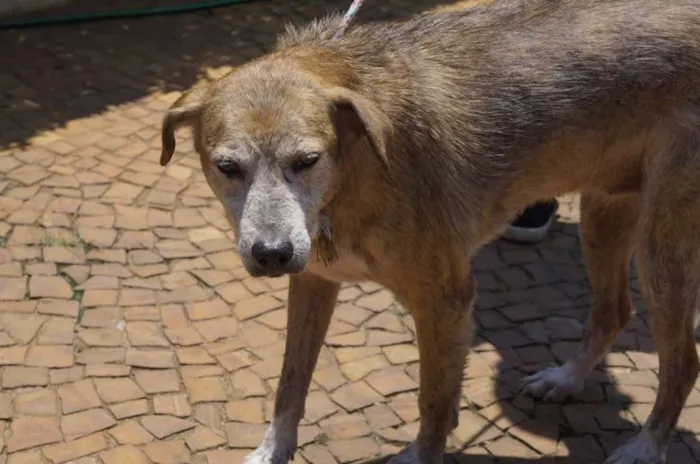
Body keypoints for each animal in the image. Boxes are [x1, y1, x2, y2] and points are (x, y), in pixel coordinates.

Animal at [161, 1, 700, 462]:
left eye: (307, 161)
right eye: (227, 167)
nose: (271, 253)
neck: (357, 164)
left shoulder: (446, 301)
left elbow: (435, 402)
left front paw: (421, 455)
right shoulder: (314, 281)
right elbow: (289, 384)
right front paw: (272, 451)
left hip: (662, 249)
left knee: (683, 359)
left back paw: (646, 446)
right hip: (605, 212)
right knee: (614, 311)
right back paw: (567, 379)